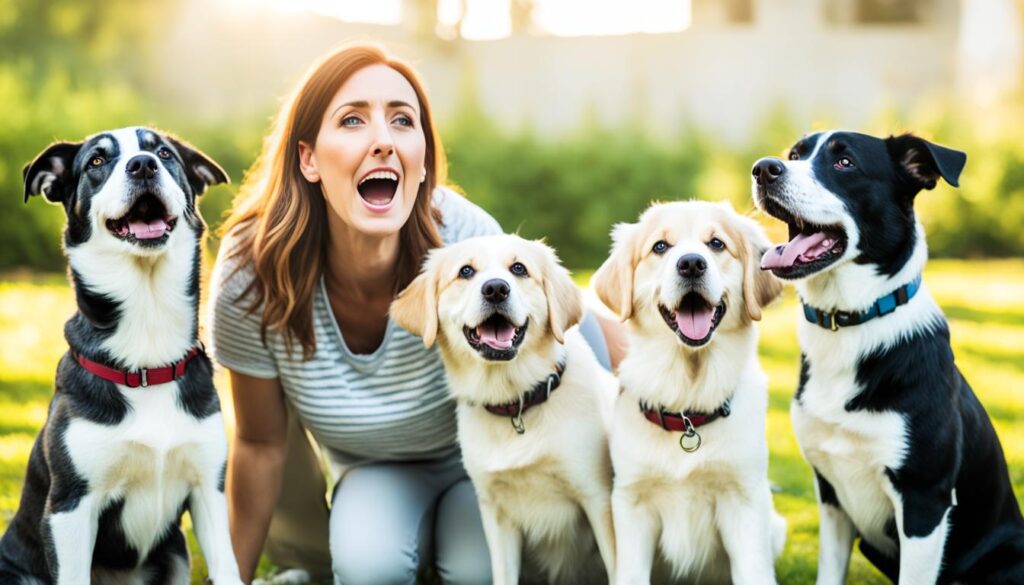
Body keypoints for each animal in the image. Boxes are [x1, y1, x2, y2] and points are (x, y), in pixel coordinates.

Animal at [0, 128, 243, 585]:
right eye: (97, 161)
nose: (143, 165)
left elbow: (228, 566)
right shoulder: (71, 508)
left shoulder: (209, 490)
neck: (147, 359)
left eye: (164, 152)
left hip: (177, 553)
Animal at [593, 201, 782, 585]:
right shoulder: (632, 502)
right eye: (660, 247)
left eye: (717, 243)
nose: (692, 264)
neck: (688, 405)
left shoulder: (745, 500)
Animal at [753, 131, 1024, 585]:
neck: (850, 322)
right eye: (795, 154)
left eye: (844, 162)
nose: (762, 168)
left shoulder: (924, 500)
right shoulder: (830, 493)